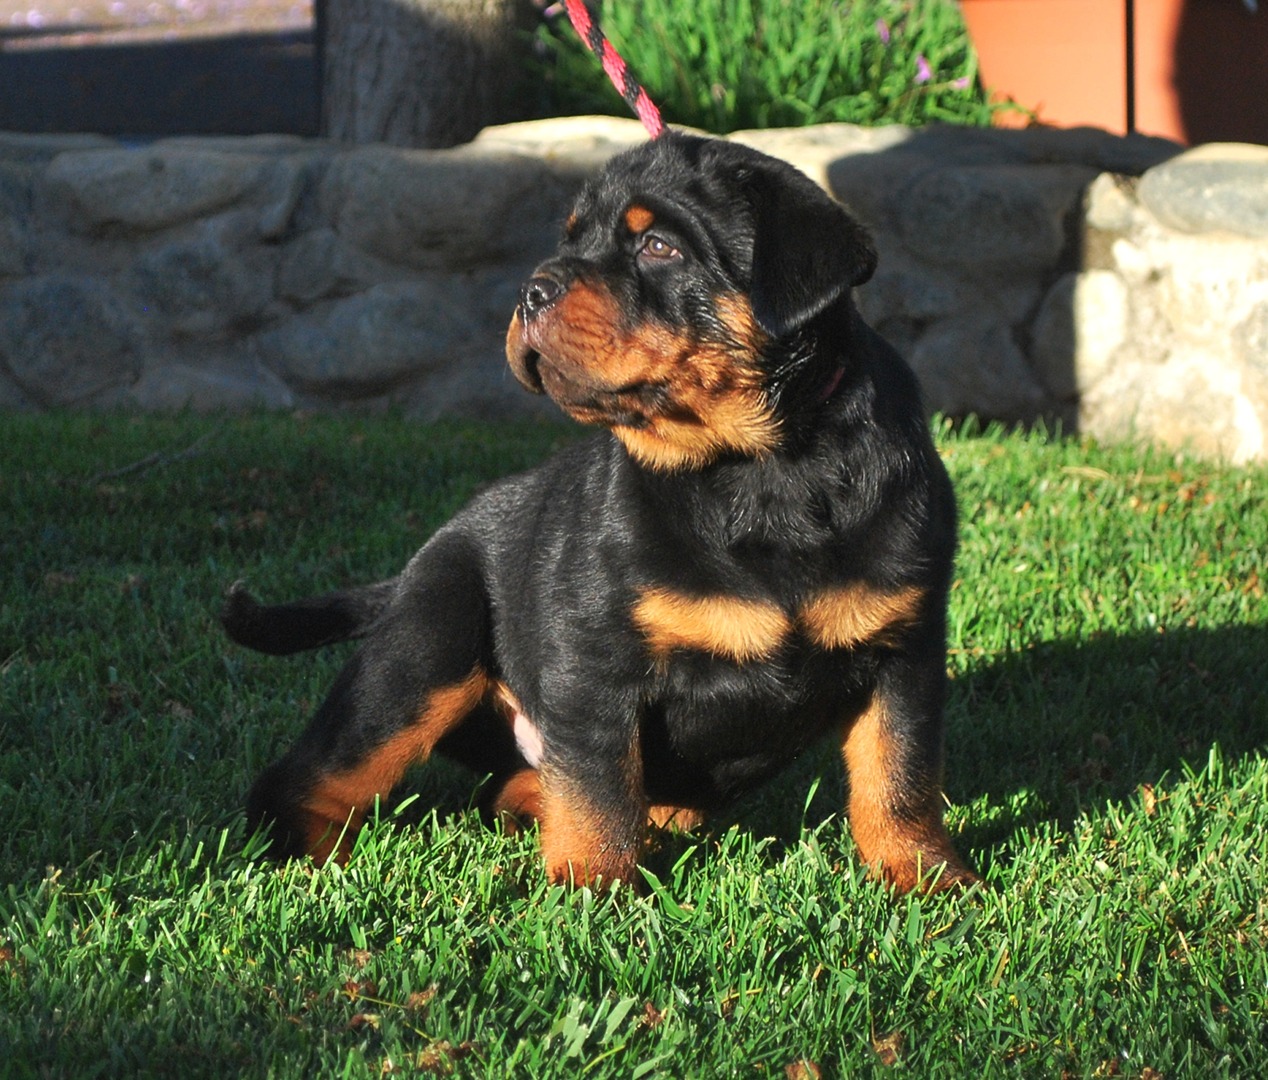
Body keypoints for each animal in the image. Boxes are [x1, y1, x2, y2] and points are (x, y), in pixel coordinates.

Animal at [223, 133, 978, 892]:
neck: (762, 471)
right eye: (571, 239)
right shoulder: (593, 660)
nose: (532, 290)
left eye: (659, 247)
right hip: (429, 642)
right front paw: (593, 891)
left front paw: (926, 878)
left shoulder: (905, 650)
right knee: (310, 776)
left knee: (517, 790)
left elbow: (899, 773)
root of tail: (419, 562)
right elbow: (599, 789)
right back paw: (316, 867)